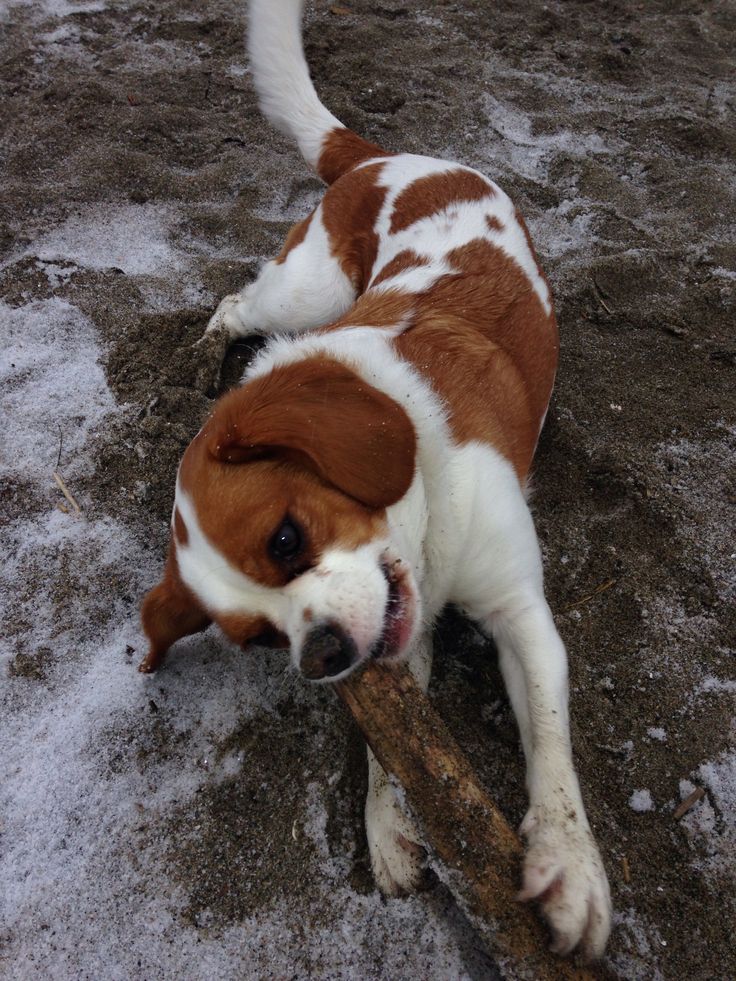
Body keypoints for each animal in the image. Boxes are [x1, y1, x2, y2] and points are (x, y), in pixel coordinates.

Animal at [138, 0, 608, 952]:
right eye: (259, 638)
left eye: (287, 537)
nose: (321, 656)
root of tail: (380, 156)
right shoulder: (401, 638)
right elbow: (397, 754)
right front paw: (390, 827)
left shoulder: (521, 611)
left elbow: (549, 742)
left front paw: (569, 864)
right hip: (308, 290)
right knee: (236, 304)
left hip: (307, 288)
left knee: (243, 299)